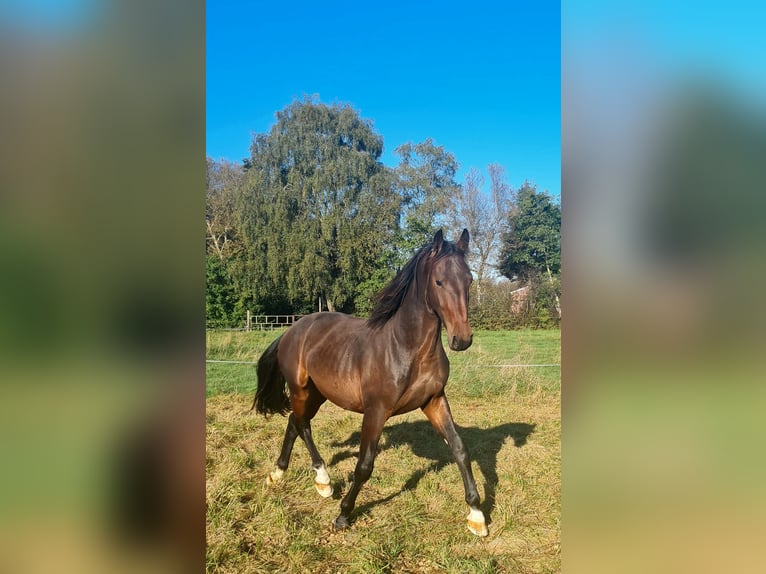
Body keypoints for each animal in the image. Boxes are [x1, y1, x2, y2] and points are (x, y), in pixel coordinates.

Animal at [255, 232, 488, 536]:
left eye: (469, 280)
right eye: (439, 281)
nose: (462, 339)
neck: (407, 349)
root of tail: (291, 330)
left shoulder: (434, 400)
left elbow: (460, 448)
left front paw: (476, 515)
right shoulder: (376, 411)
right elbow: (364, 465)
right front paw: (343, 515)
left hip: (318, 394)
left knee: (295, 422)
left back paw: (282, 474)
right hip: (300, 389)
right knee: (302, 424)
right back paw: (322, 479)